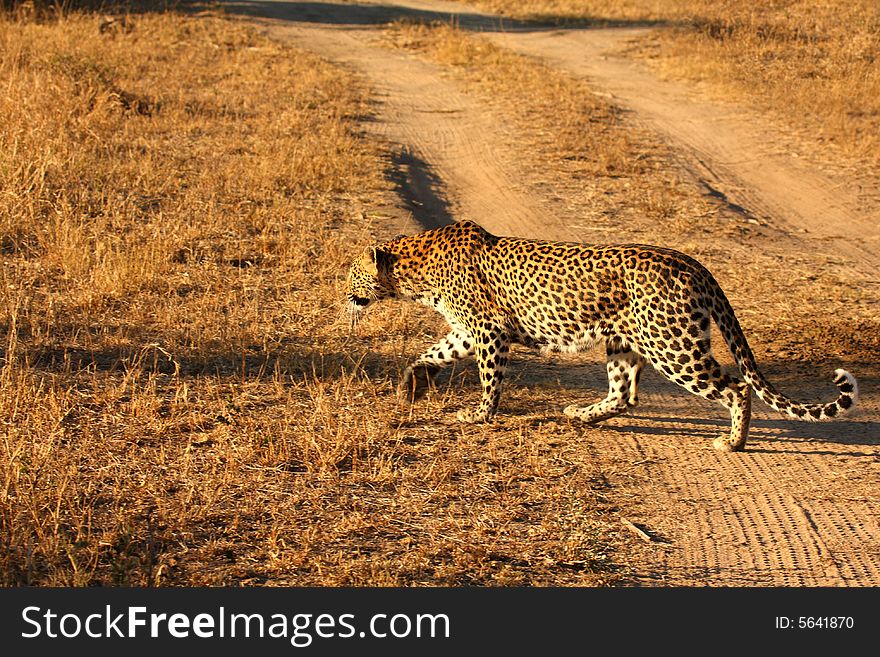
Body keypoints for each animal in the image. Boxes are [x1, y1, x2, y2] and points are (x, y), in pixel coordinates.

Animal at [344, 220, 860, 452]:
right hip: (624, 342)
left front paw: (478, 415)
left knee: (736, 387)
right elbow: (432, 352)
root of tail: (694, 264)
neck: (414, 272)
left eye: (351, 274)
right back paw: (581, 414)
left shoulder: (488, 332)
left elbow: (490, 382)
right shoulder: (468, 332)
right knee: (624, 394)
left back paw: (732, 443)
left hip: (673, 345)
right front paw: (411, 384)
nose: (342, 295)